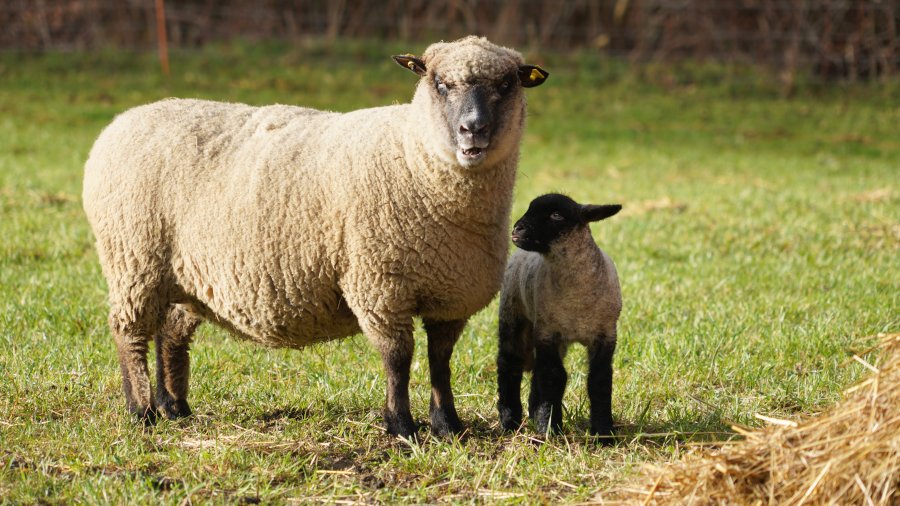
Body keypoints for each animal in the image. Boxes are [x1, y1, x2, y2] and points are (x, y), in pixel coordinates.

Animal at [82, 36, 548, 440]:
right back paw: (141, 411)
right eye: (439, 83)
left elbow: (440, 362)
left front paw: (447, 425)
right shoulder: (379, 286)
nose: (473, 129)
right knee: (129, 334)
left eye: (506, 85)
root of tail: (122, 122)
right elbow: (397, 361)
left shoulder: (451, 294)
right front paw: (401, 427)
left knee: (171, 334)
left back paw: (174, 407)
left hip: (181, 276)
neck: (415, 156)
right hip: (133, 261)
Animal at [496, 193, 622, 437]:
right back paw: (510, 421)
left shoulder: (606, 335)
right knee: (509, 364)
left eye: (556, 215)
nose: (517, 229)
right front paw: (549, 428)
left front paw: (603, 432)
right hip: (512, 315)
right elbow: (554, 377)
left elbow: (599, 380)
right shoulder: (547, 333)